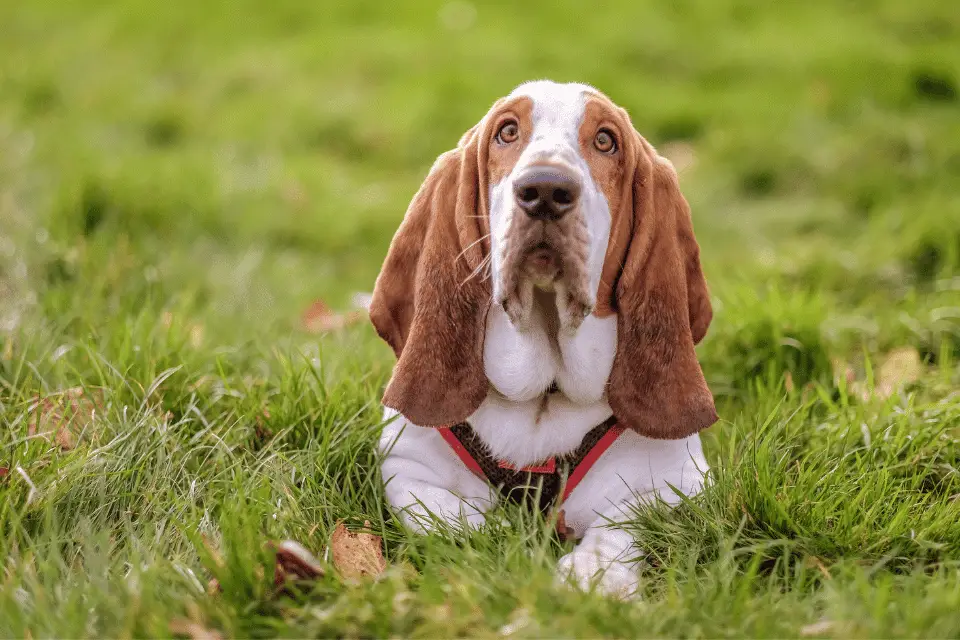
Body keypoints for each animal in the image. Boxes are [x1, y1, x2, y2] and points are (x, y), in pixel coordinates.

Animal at [372, 81, 716, 600]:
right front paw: (495, 543)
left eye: (606, 141)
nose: (546, 191)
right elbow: (449, 519)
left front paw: (593, 576)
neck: (544, 395)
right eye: (507, 132)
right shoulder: (407, 464)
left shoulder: (680, 480)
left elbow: (625, 524)